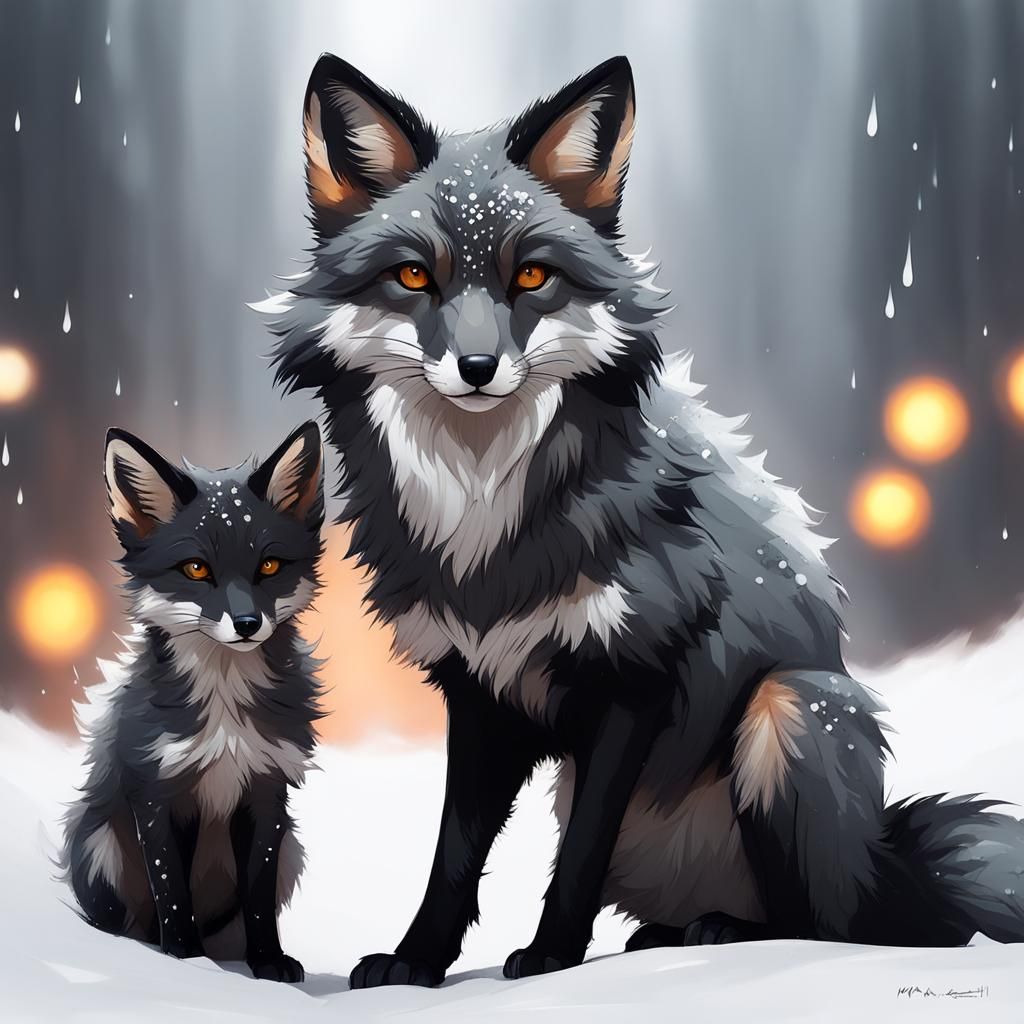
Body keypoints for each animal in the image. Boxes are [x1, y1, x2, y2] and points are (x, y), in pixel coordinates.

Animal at [62, 422, 325, 983]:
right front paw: (184, 960)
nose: (247, 624)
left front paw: (268, 965)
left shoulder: (267, 792)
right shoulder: (159, 794)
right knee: (131, 924)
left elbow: (257, 897)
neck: (225, 719)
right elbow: (172, 892)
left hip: (293, 848)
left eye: (269, 565)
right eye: (197, 569)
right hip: (100, 847)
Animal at [256, 54, 1024, 987]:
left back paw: (723, 933)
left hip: (793, 709)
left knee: (829, 923)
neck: (483, 529)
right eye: (413, 277)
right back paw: (671, 933)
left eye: (531, 276)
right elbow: (455, 855)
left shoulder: (635, 678)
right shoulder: (477, 691)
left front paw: (550, 959)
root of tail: (889, 861)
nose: (477, 367)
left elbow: (578, 855)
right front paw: (416, 963)